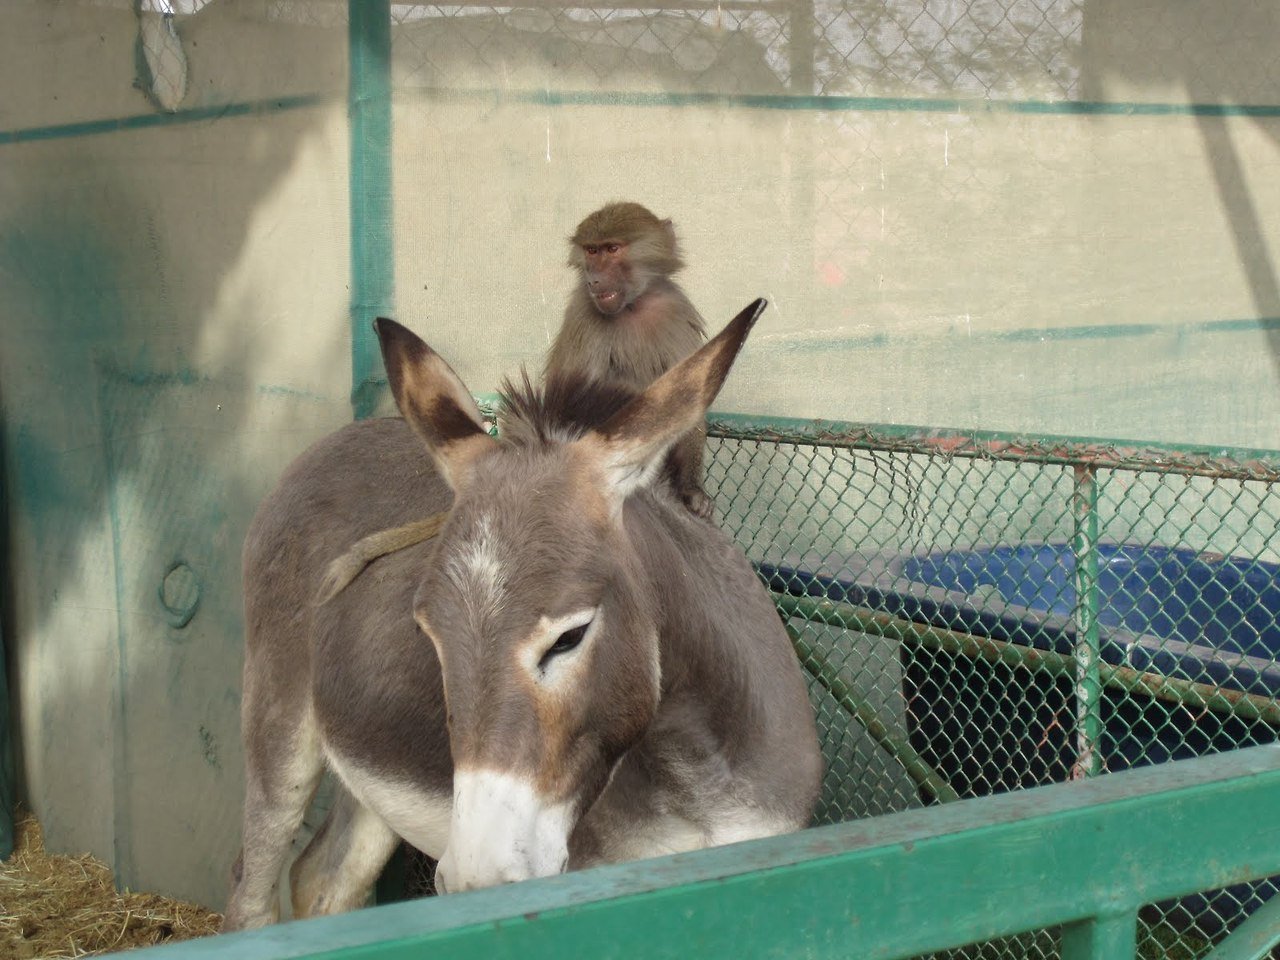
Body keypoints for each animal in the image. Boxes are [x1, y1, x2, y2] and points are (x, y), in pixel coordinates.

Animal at [313, 206, 711, 604]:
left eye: (612, 248)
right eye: (592, 251)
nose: (594, 280)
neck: (633, 306)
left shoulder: (674, 307)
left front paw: (692, 491)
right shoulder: (585, 316)